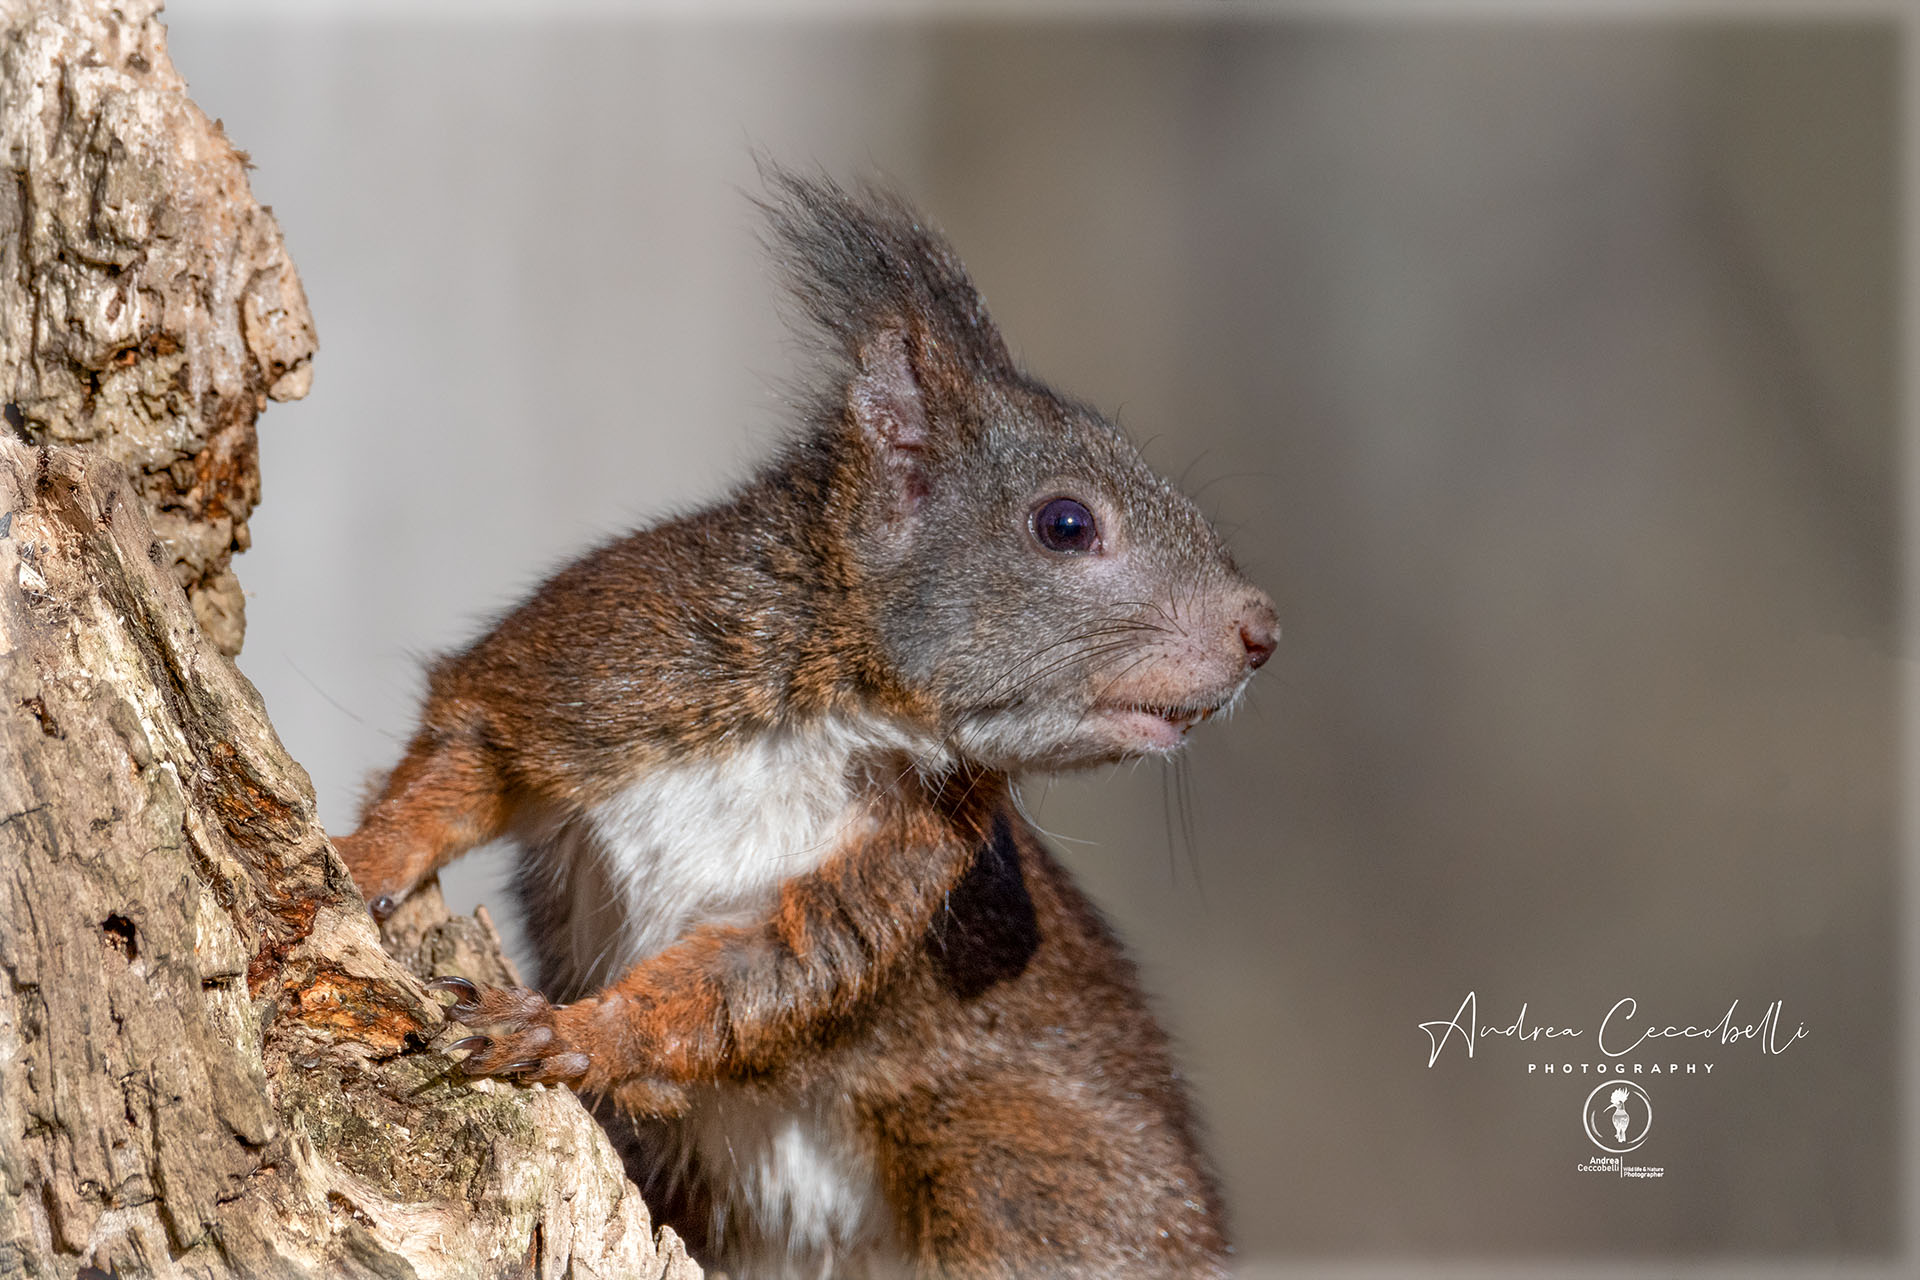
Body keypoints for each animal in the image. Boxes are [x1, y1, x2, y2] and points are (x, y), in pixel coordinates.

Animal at [334, 167, 1278, 1280]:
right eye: (1065, 524)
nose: (1263, 631)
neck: (842, 712)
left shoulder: (895, 863)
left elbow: (753, 981)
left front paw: (577, 1036)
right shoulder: (597, 654)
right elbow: (465, 750)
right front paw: (359, 857)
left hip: (1026, 1180)